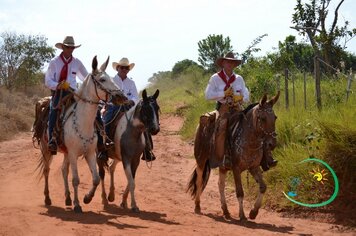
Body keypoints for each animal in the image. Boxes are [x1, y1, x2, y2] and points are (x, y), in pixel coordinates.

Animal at [35, 56, 127, 213]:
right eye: (102, 79)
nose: (121, 96)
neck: (83, 122)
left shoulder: (89, 153)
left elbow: (96, 178)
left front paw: (86, 198)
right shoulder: (73, 153)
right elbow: (76, 180)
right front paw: (78, 205)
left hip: (65, 153)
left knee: (63, 170)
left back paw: (67, 198)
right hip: (46, 149)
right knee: (47, 170)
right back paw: (47, 198)